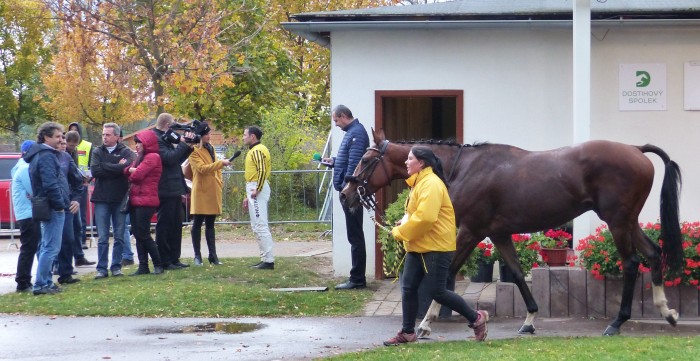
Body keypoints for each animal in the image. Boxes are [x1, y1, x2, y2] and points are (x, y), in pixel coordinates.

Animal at [342, 127, 680, 334]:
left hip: (618, 221)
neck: (462, 168)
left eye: (367, 159)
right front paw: (529, 319)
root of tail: (636, 149)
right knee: (653, 254)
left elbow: (446, 274)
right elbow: (516, 273)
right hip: (628, 221)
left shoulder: (472, 230)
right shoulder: (499, 233)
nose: (346, 194)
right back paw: (667, 312)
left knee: (632, 263)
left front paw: (426, 323)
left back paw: (617, 322)